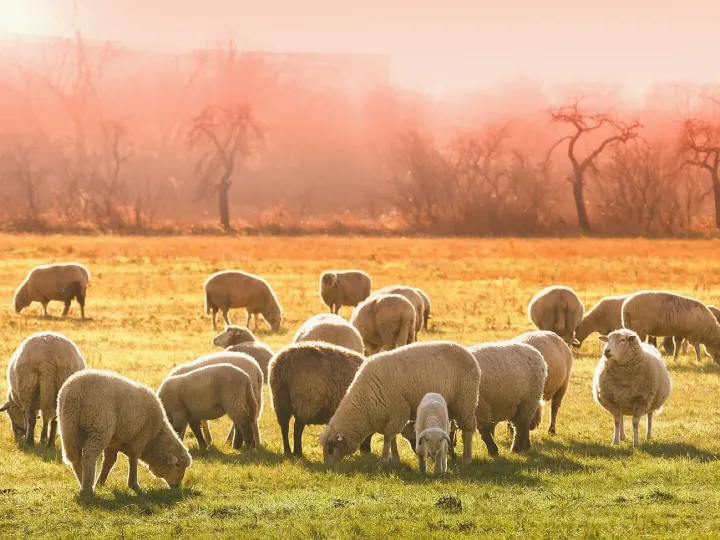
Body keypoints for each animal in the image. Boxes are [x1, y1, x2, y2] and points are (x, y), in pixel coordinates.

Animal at [58, 369, 192, 495]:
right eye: (177, 465)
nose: (177, 487)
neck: (155, 436)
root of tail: (74, 391)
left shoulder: (113, 443)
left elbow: (109, 462)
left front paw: (100, 483)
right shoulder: (141, 437)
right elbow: (133, 459)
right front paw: (134, 485)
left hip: (69, 428)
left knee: (76, 459)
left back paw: (83, 483)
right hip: (99, 428)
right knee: (88, 457)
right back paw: (87, 489)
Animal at [320, 341, 480, 468]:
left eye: (331, 447)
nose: (327, 467)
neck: (364, 402)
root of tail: (468, 353)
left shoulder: (399, 411)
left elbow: (388, 438)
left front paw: (384, 461)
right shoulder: (390, 414)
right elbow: (392, 439)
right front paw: (395, 459)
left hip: (465, 401)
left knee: (468, 431)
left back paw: (467, 459)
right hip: (452, 406)